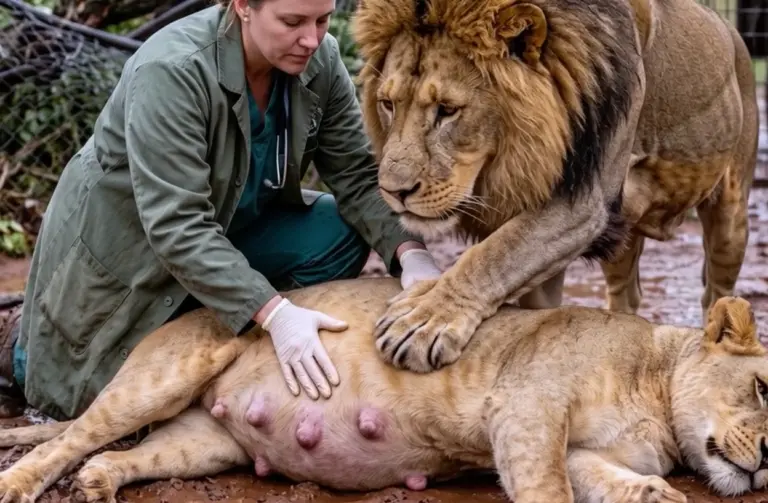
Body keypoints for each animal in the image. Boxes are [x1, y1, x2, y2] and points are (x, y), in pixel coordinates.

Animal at [0, 277, 766, 503]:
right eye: (762, 385)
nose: (766, 459)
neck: (657, 393)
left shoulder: (577, 449)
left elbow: (618, 482)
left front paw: (660, 495)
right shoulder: (528, 410)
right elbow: (549, 491)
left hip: (202, 440)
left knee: (121, 453)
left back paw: (100, 483)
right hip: (166, 375)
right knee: (72, 435)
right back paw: (21, 483)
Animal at [352, 0, 759, 374]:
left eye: (447, 110)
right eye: (387, 104)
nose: (393, 192)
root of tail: (732, 30)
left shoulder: (582, 204)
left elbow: (493, 255)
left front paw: (424, 319)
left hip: (731, 219)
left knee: (716, 293)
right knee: (627, 294)